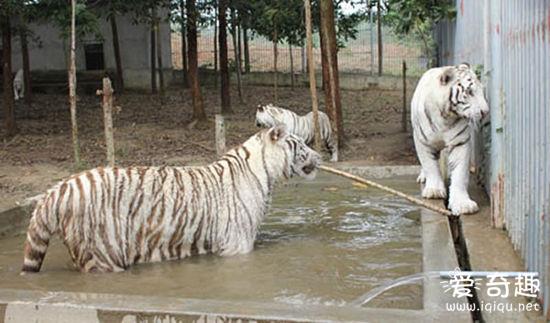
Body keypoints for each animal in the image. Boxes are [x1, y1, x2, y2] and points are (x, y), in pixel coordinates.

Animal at [22, 126, 324, 274]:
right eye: (300, 144)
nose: (319, 156)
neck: (265, 170)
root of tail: (57, 189)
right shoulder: (236, 245)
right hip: (103, 252)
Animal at [414, 63, 492, 215]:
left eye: (481, 91)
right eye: (470, 92)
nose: (486, 112)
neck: (444, 117)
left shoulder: (460, 142)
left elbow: (460, 173)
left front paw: (462, 204)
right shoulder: (422, 142)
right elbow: (430, 165)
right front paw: (434, 191)